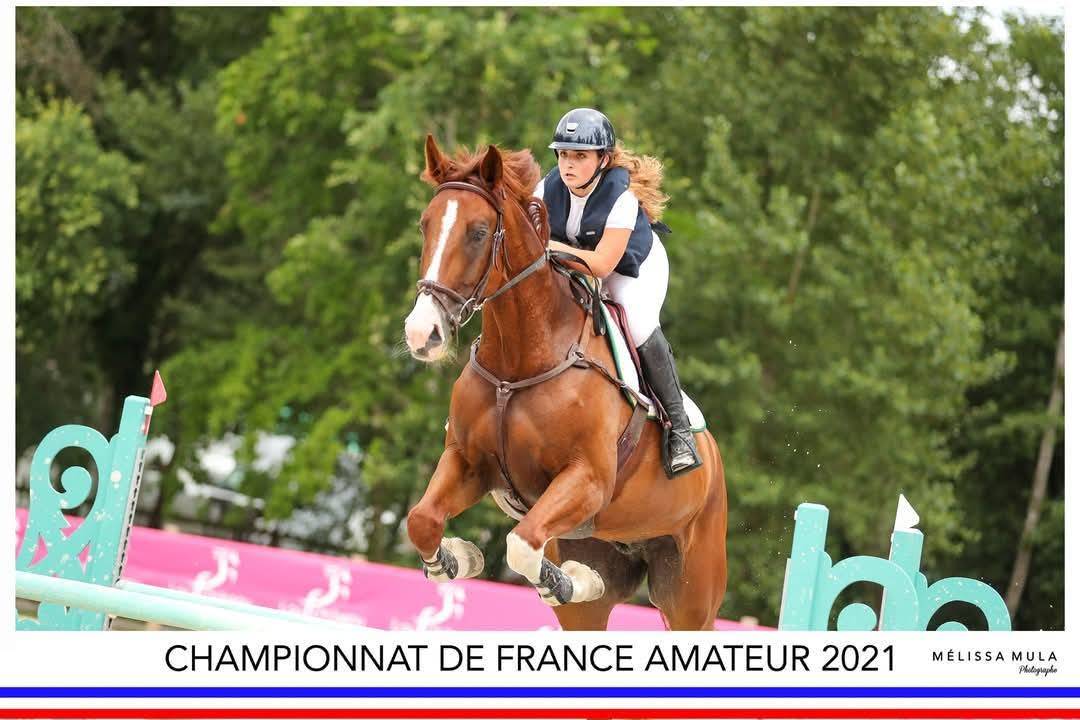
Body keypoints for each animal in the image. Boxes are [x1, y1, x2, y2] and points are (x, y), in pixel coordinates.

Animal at [402, 135, 728, 630]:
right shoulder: (468, 462)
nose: (423, 334)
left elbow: (521, 543)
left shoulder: (587, 480)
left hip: (691, 595)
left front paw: (566, 581)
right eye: (426, 225)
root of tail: (714, 459)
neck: (518, 364)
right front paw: (457, 559)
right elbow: (422, 520)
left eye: (478, 232)